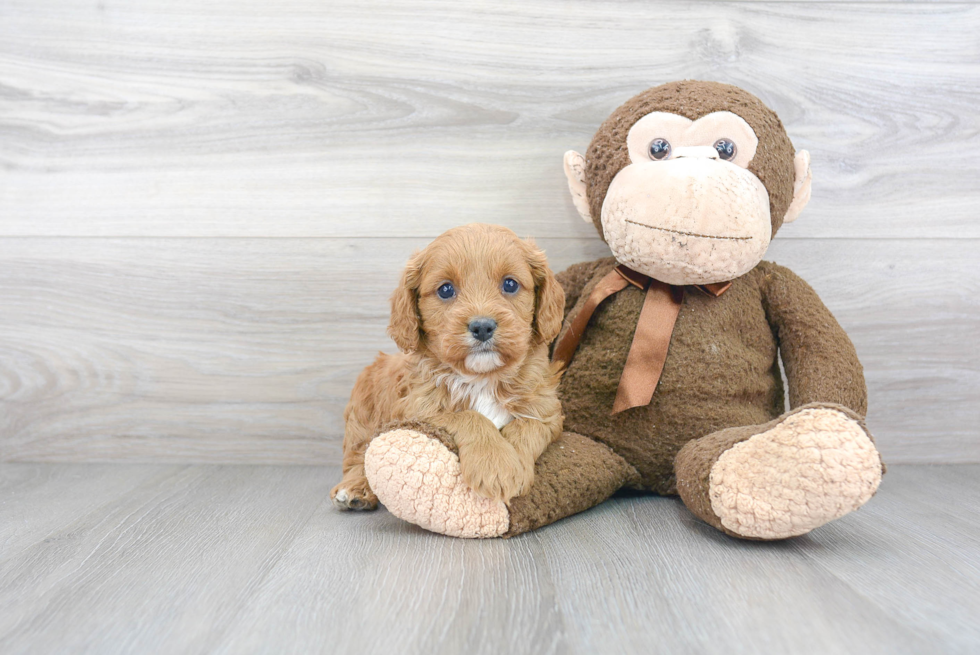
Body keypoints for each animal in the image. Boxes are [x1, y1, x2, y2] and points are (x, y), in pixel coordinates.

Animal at [332, 223, 568, 510]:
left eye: (510, 284)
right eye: (445, 290)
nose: (482, 326)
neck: (482, 379)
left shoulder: (546, 409)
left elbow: (526, 426)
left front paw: (515, 466)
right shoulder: (417, 408)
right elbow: (468, 416)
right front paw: (494, 464)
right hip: (361, 417)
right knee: (358, 455)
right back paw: (355, 489)